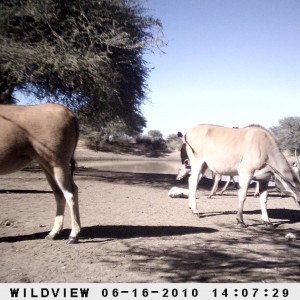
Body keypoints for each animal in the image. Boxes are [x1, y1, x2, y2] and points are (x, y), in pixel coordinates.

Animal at [0, 103, 81, 244]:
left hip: (58, 164)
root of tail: (69, 113)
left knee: (69, 193)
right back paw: (53, 233)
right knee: (61, 194)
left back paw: (73, 236)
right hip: (47, 166)